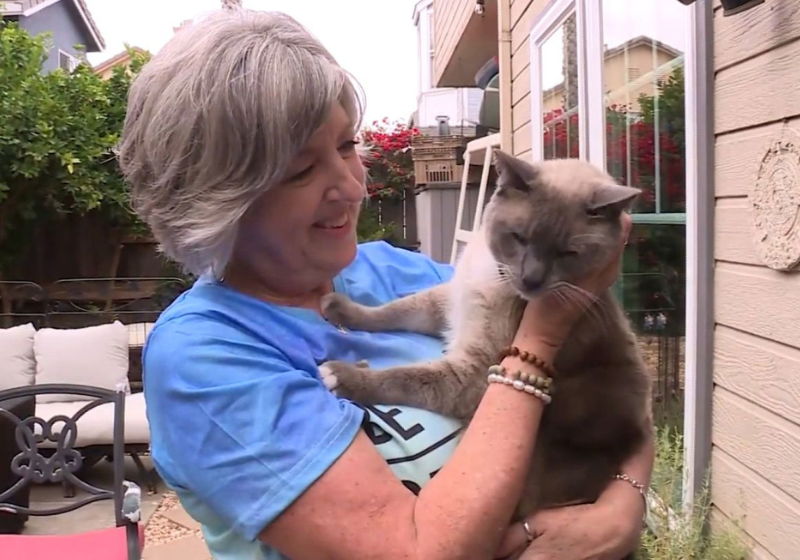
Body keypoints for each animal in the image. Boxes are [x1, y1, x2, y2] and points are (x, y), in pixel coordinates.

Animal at [318, 151, 648, 540]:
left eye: (568, 253)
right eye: (519, 237)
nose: (531, 280)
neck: (494, 276)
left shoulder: (474, 371)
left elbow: (402, 376)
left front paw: (339, 374)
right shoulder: (447, 305)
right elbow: (392, 311)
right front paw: (337, 308)